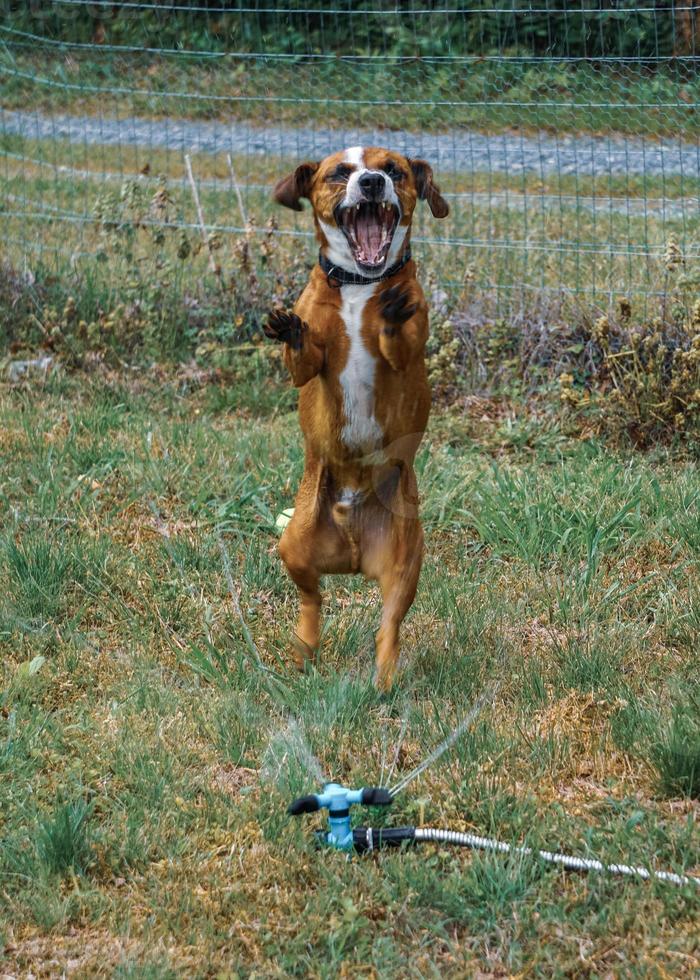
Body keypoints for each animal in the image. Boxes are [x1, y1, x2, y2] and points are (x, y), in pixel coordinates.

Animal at [266, 149, 452, 692]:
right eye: (339, 173)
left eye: (393, 170)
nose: (371, 182)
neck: (359, 287)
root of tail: (350, 551)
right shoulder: (307, 366)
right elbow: (303, 359)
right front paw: (293, 331)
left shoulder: (408, 348)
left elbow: (400, 340)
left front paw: (391, 315)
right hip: (293, 546)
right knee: (312, 600)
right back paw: (304, 651)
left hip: (407, 563)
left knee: (388, 625)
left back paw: (384, 680)